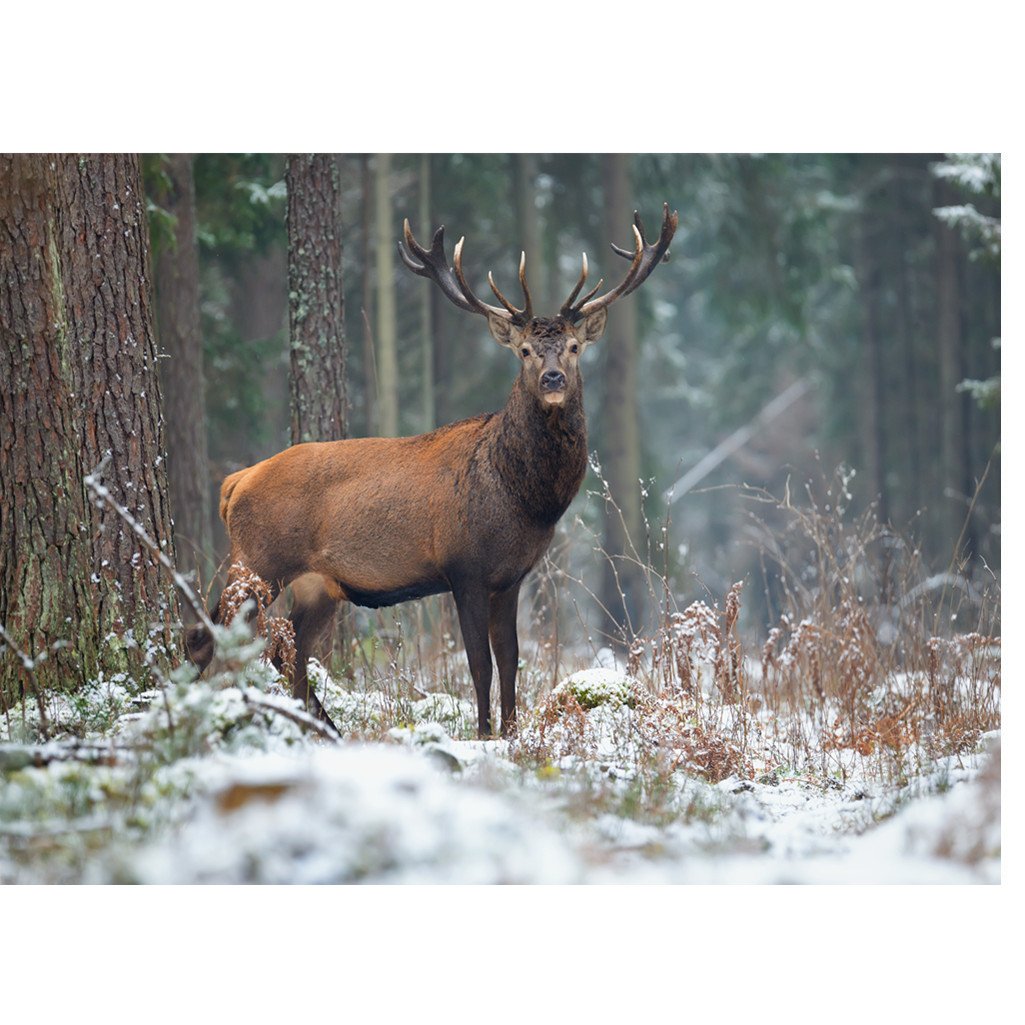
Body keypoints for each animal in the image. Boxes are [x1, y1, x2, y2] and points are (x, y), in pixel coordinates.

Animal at [186, 206, 680, 738]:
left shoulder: (511, 577)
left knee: (287, 651)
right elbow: (479, 663)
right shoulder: (464, 567)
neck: (525, 502)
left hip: (316, 583)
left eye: (573, 347)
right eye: (525, 351)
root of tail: (234, 484)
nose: (553, 379)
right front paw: (484, 733)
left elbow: (511, 659)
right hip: (258, 560)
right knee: (206, 636)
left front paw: (511, 732)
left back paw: (323, 730)